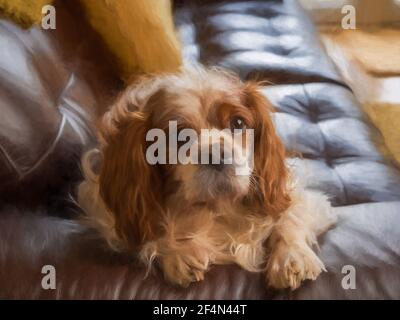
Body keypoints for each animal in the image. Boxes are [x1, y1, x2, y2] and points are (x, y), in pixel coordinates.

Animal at [76, 66, 336, 288]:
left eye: (238, 122)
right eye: (179, 137)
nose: (216, 154)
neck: (216, 208)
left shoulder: (298, 196)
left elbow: (289, 217)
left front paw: (292, 258)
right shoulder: (107, 212)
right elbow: (150, 228)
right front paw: (179, 252)